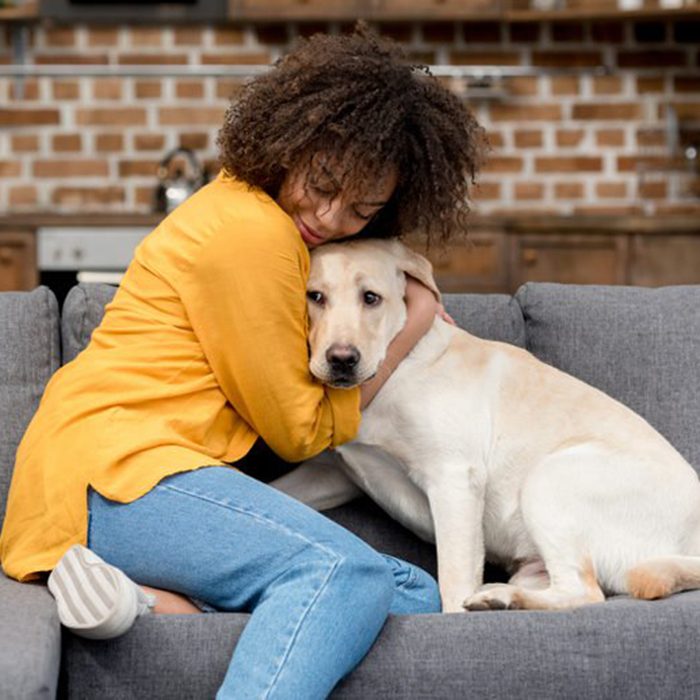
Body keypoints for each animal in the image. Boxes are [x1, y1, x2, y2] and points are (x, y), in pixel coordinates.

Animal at [270, 238, 700, 608]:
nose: (342, 359)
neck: (395, 366)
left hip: (549, 479)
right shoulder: (332, 473)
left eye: (371, 298)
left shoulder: (454, 478)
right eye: (314, 296)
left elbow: (453, 580)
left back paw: (500, 599)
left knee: (584, 591)